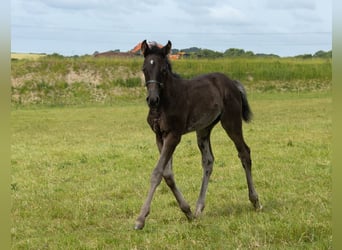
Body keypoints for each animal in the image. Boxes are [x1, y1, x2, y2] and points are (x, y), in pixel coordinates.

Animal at [134, 40, 262, 229]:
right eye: (144, 68)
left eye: (163, 70)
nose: (152, 99)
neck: (164, 102)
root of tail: (232, 82)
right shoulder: (159, 136)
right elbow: (167, 174)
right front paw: (187, 211)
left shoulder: (174, 135)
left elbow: (157, 172)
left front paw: (140, 218)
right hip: (204, 129)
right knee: (208, 161)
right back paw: (198, 208)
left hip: (231, 122)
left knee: (244, 152)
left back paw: (255, 201)